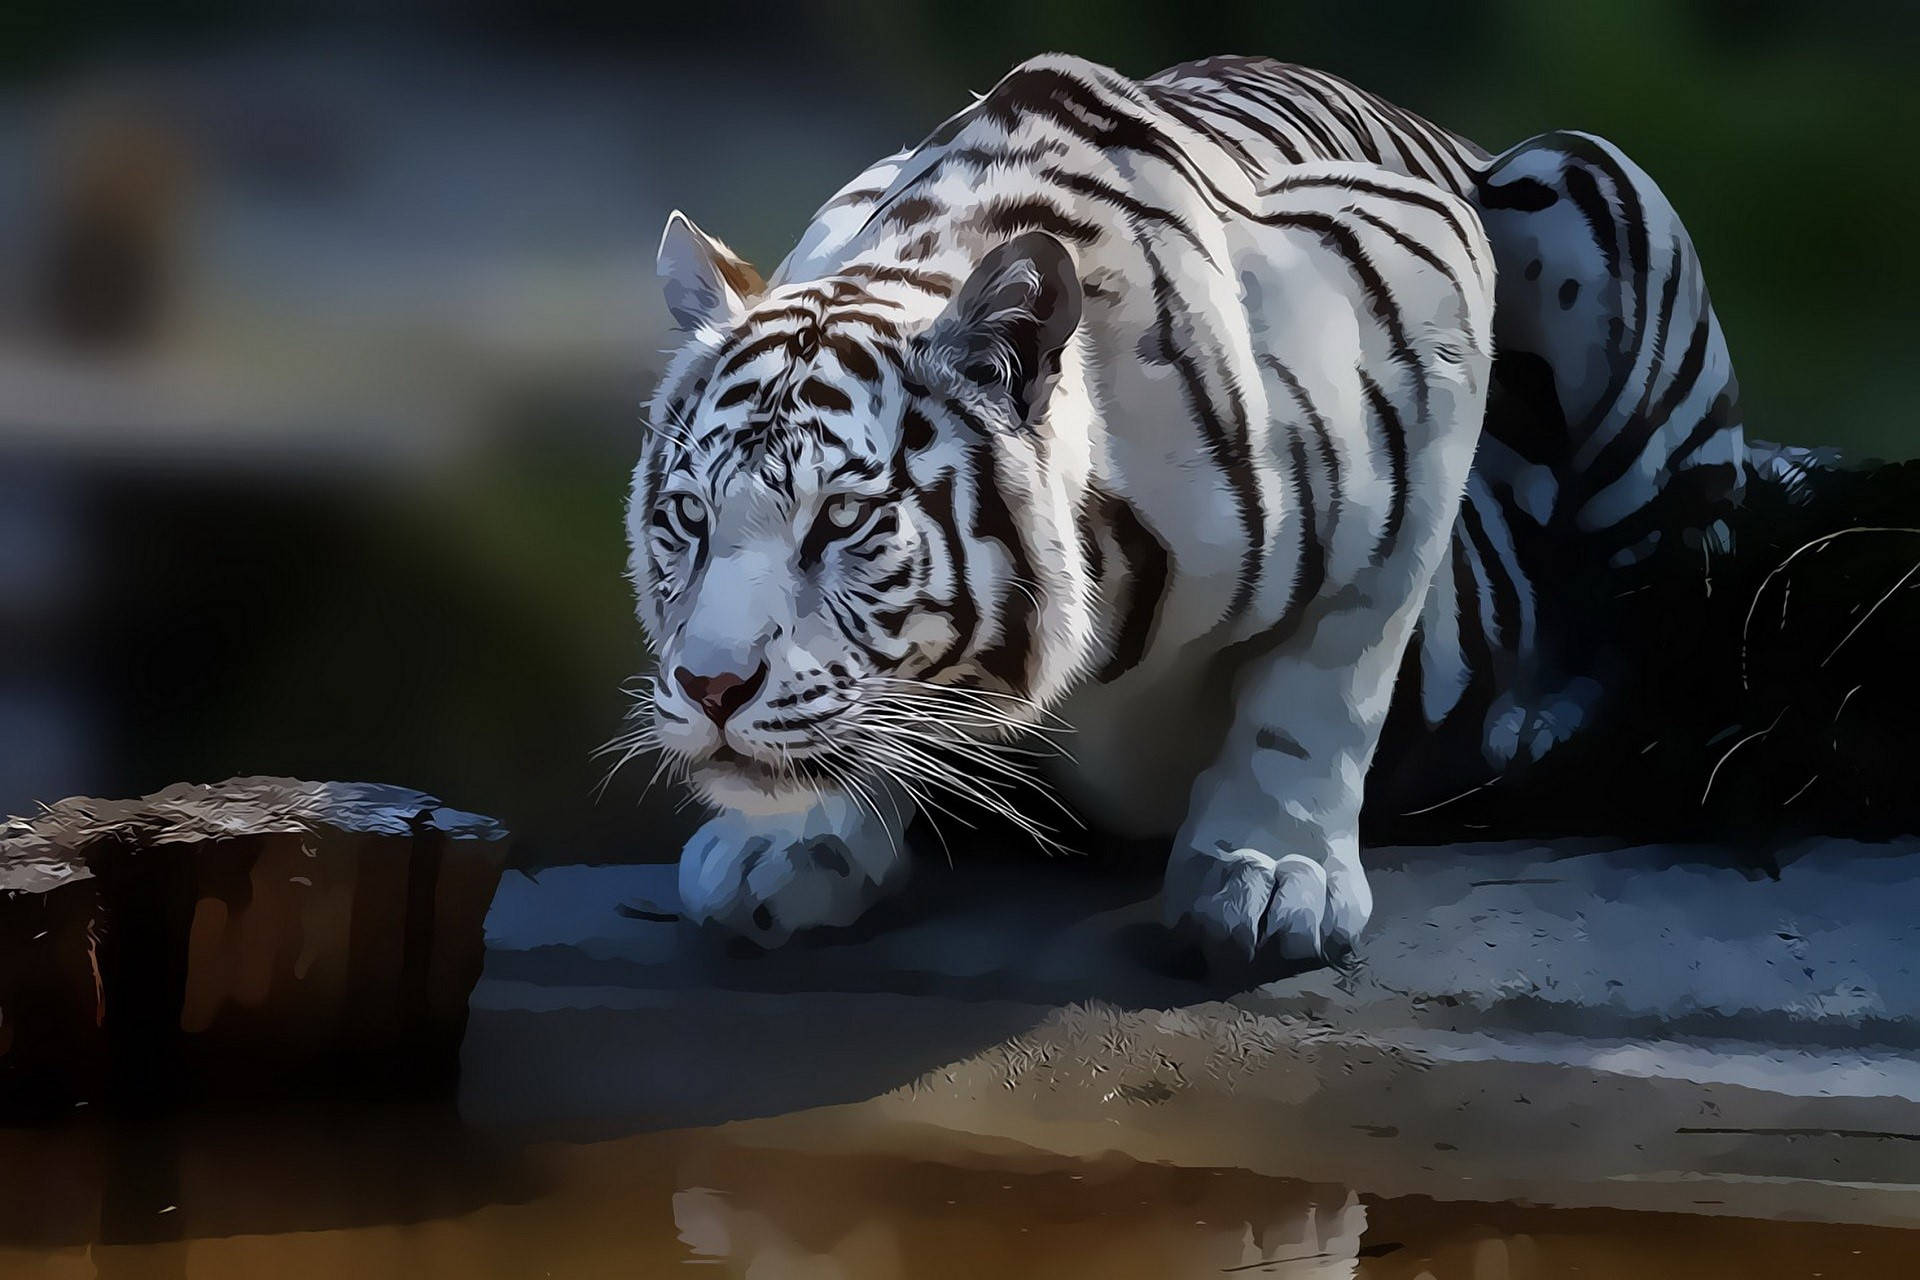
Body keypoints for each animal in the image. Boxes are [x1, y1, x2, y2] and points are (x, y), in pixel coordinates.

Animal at [622, 53, 1746, 970]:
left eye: (843, 522)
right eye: (688, 519)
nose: (711, 689)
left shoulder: (1429, 300)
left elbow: (1329, 672)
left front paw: (1273, 875)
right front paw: (788, 842)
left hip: (1589, 191)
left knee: (1666, 610)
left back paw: (1534, 726)